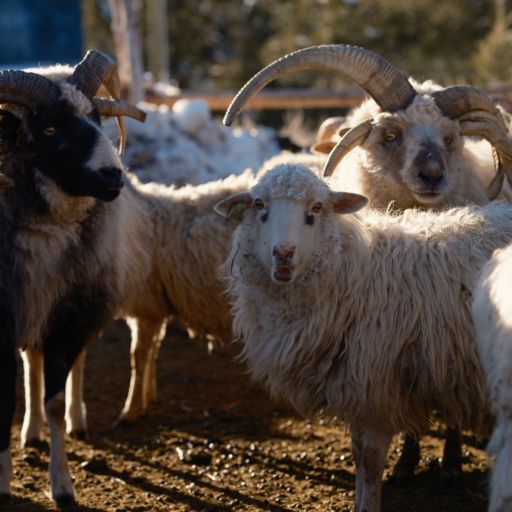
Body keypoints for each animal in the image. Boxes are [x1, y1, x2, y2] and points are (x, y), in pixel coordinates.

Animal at [0, 50, 148, 506]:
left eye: (98, 121)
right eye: (48, 129)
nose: (113, 175)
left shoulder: (68, 319)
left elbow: (54, 400)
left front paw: (62, 486)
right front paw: (3, 484)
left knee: (70, 365)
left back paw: (76, 420)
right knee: (31, 360)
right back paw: (30, 432)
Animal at [215, 162, 512, 512]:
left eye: (317, 208)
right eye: (259, 204)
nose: (283, 253)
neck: (350, 272)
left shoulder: (374, 389)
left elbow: (369, 463)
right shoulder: (357, 390)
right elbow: (358, 458)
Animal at [225, 43, 512, 484]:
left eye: (451, 139)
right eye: (389, 134)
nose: (433, 175)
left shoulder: (439, 331)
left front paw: (449, 459)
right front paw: (407, 460)